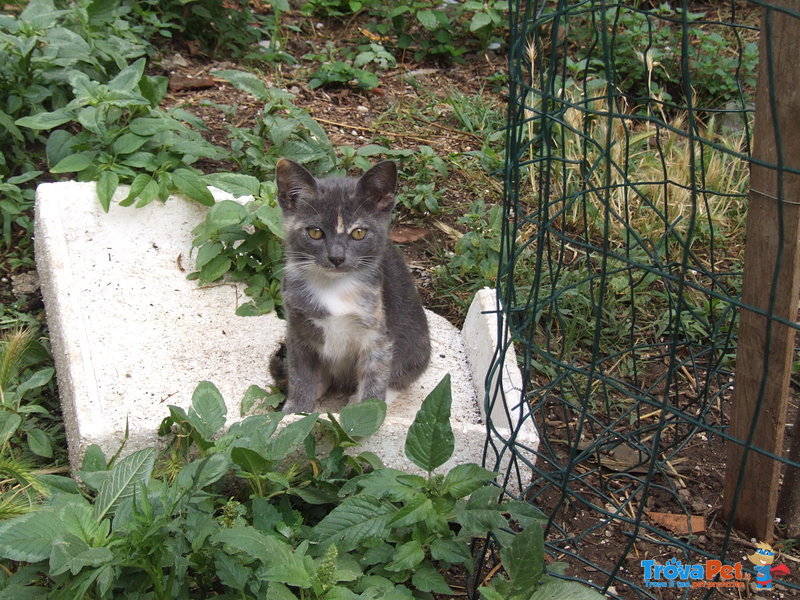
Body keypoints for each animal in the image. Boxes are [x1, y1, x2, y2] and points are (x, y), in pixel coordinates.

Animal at [270, 158, 432, 412]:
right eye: (315, 232)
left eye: (358, 233)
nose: (336, 257)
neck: (333, 287)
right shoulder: (296, 329)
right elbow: (300, 376)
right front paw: (294, 411)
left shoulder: (378, 337)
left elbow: (376, 378)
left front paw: (365, 411)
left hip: (417, 346)